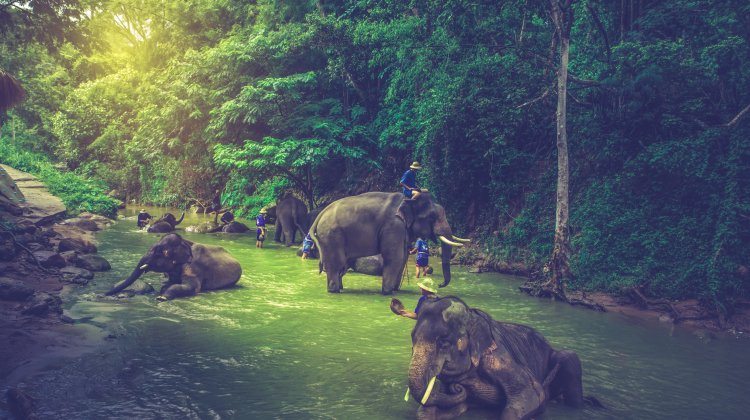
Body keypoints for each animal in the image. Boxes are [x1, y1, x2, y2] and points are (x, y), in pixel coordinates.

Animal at [106, 233, 242, 301]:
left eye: (158, 253)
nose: (104, 294)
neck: (185, 241)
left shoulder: (194, 267)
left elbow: (191, 287)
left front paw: (161, 297)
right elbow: (169, 283)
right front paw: (162, 291)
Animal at [310, 191, 469, 294]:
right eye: (432, 216)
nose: (440, 285)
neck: (408, 200)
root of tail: (320, 214)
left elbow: (403, 257)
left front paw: (395, 290)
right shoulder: (393, 226)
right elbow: (395, 258)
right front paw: (388, 292)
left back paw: (341, 288)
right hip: (331, 236)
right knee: (337, 263)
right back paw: (334, 290)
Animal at [391, 296, 597, 420]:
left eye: (443, 342)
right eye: (412, 338)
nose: (457, 387)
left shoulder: (499, 359)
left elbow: (533, 395)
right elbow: (427, 411)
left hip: (565, 361)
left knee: (569, 358)